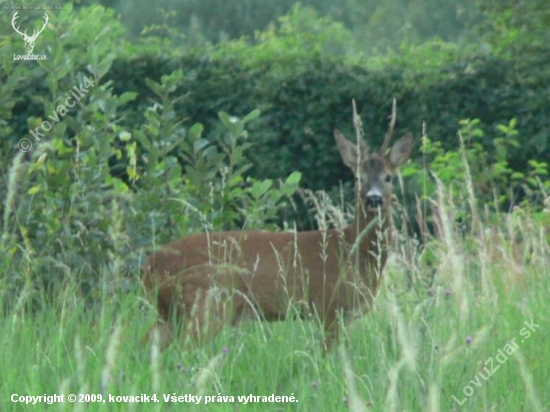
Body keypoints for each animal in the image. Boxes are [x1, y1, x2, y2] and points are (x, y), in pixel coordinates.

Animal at [142, 99, 414, 350]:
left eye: (389, 177)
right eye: (359, 177)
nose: (373, 198)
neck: (353, 250)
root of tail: (148, 265)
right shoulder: (330, 306)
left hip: (171, 313)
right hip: (207, 303)